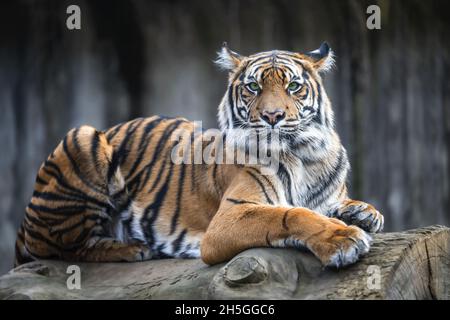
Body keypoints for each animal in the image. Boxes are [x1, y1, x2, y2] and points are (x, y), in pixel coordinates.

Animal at [15, 42, 384, 268]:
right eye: (253, 87)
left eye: (293, 87)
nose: (272, 116)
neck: (304, 155)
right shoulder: (229, 217)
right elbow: (290, 214)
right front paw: (343, 238)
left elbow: (340, 205)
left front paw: (365, 214)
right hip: (83, 136)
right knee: (56, 247)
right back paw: (133, 248)